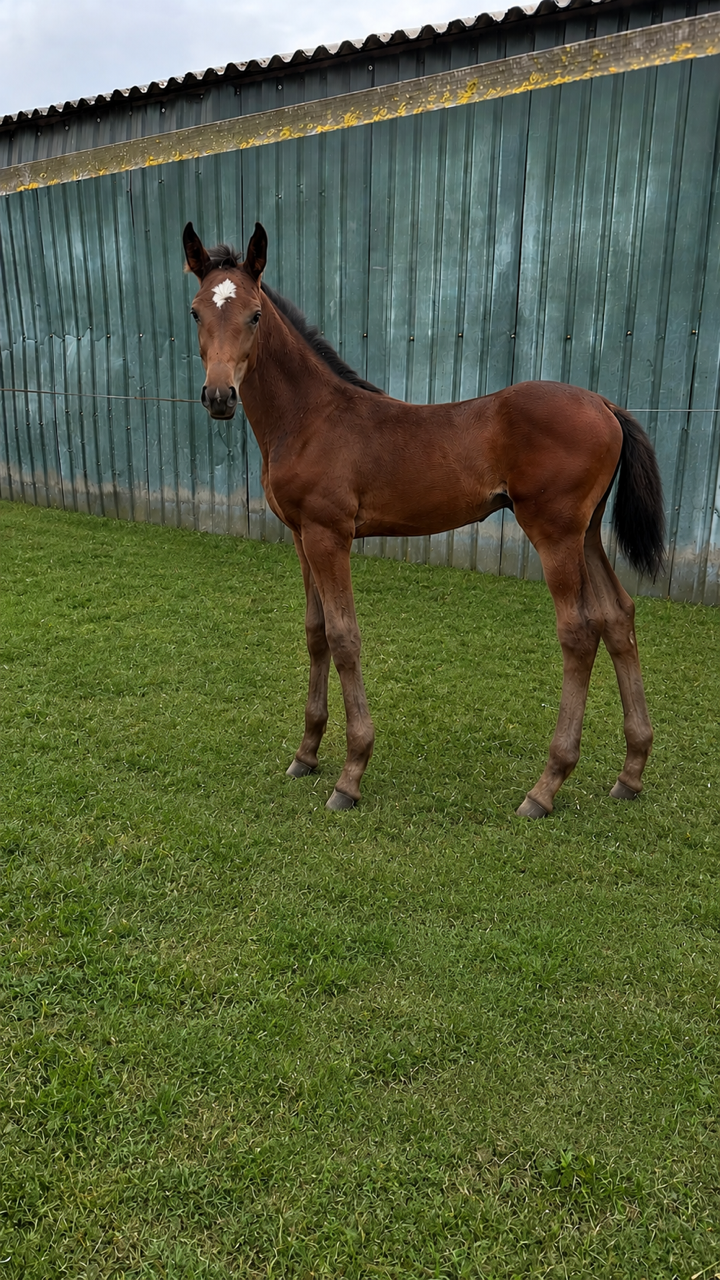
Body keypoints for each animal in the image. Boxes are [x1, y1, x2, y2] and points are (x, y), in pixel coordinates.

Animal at [182, 220, 665, 818]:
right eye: (196, 312)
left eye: (253, 315)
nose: (219, 396)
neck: (310, 418)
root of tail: (603, 403)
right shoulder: (300, 536)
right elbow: (316, 634)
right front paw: (306, 754)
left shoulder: (329, 535)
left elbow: (344, 637)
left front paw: (350, 775)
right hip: (588, 532)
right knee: (619, 616)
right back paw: (631, 772)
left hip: (554, 532)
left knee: (579, 633)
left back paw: (545, 787)